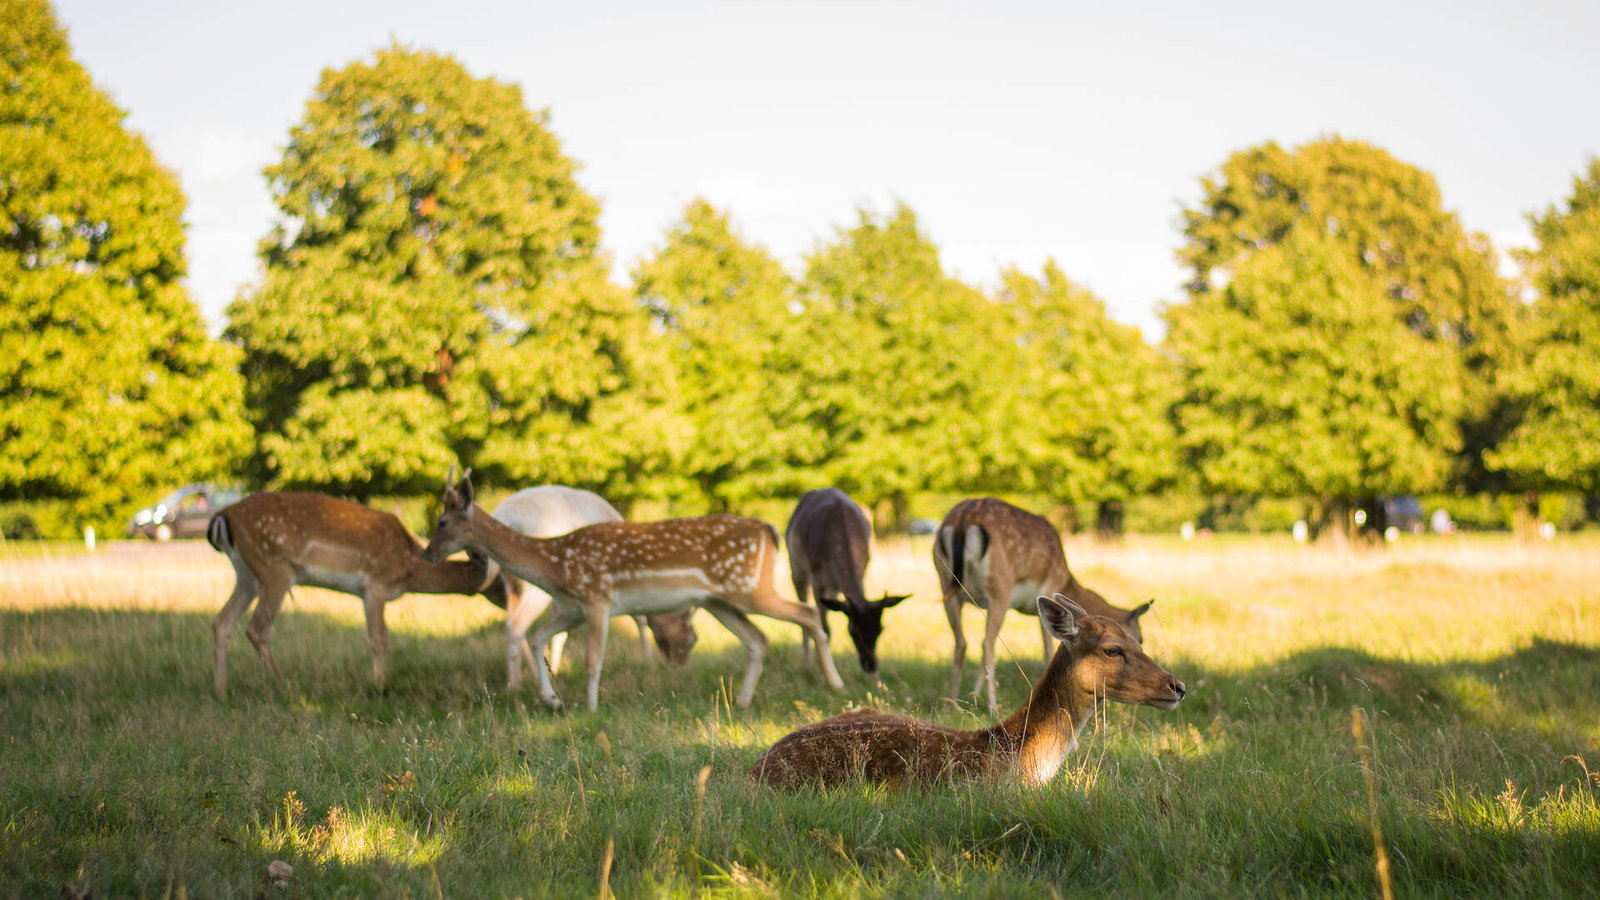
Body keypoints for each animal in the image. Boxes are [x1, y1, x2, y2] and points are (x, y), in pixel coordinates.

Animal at [207, 491, 508, 697]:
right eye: (501, 579)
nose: (509, 601)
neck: (409, 568)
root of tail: (222, 517)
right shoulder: (375, 586)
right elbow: (379, 638)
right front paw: (380, 683)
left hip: (246, 575)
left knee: (222, 621)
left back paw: (221, 689)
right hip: (274, 569)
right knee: (257, 627)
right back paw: (282, 683)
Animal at [491, 485, 697, 672]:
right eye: (693, 639)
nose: (680, 665)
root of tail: (505, 515)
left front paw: (555, 668)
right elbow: (640, 618)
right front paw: (648, 662)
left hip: (510, 581)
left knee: (511, 620)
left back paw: (532, 673)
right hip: (534, 582)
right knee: (516, 624)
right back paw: (516, 683)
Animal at [785, 488, 909, 683]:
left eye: (880, 630)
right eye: (853, 631)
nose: (870, 665)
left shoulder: (864, 569)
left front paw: (877, 682)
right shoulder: (817, 577)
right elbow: (824, 628)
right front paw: (824, 676)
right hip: (796, 568)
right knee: (803, 609)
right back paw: (807, 662)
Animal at [935, 497, 1154, 712]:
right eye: (1139, 639)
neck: (1066, 580)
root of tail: (963, 521)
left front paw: (973, 697)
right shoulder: (1049, 591)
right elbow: (1048, 649)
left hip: (946, 587)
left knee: (962, 642)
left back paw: (950, 705)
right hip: (1000, 587)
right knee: (987, 642)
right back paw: (993, 707)